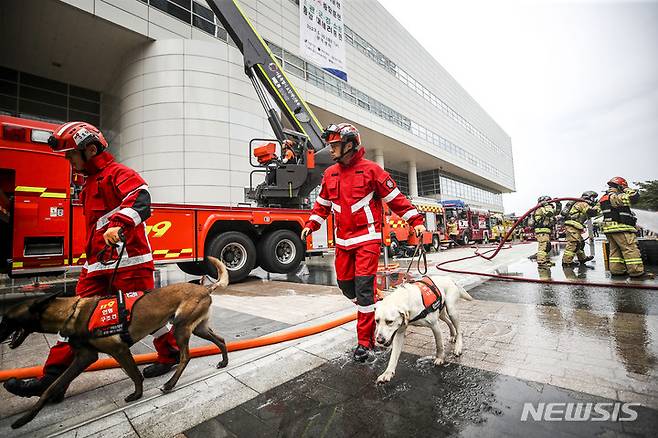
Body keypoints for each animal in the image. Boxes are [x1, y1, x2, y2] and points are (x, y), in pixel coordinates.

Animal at [0, 256, 229, 428]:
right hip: (198, 328)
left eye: (7, 318)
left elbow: (135, 374)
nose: (0, 336)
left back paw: (169, 384)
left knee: (185, 357)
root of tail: (204, 288)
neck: (71, 312)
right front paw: (26, 418)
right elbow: (52, 386)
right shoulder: (84, 358)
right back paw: (223, 362)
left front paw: (137, 394)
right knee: (221, 339)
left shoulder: (119, 350)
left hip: (181, 329)